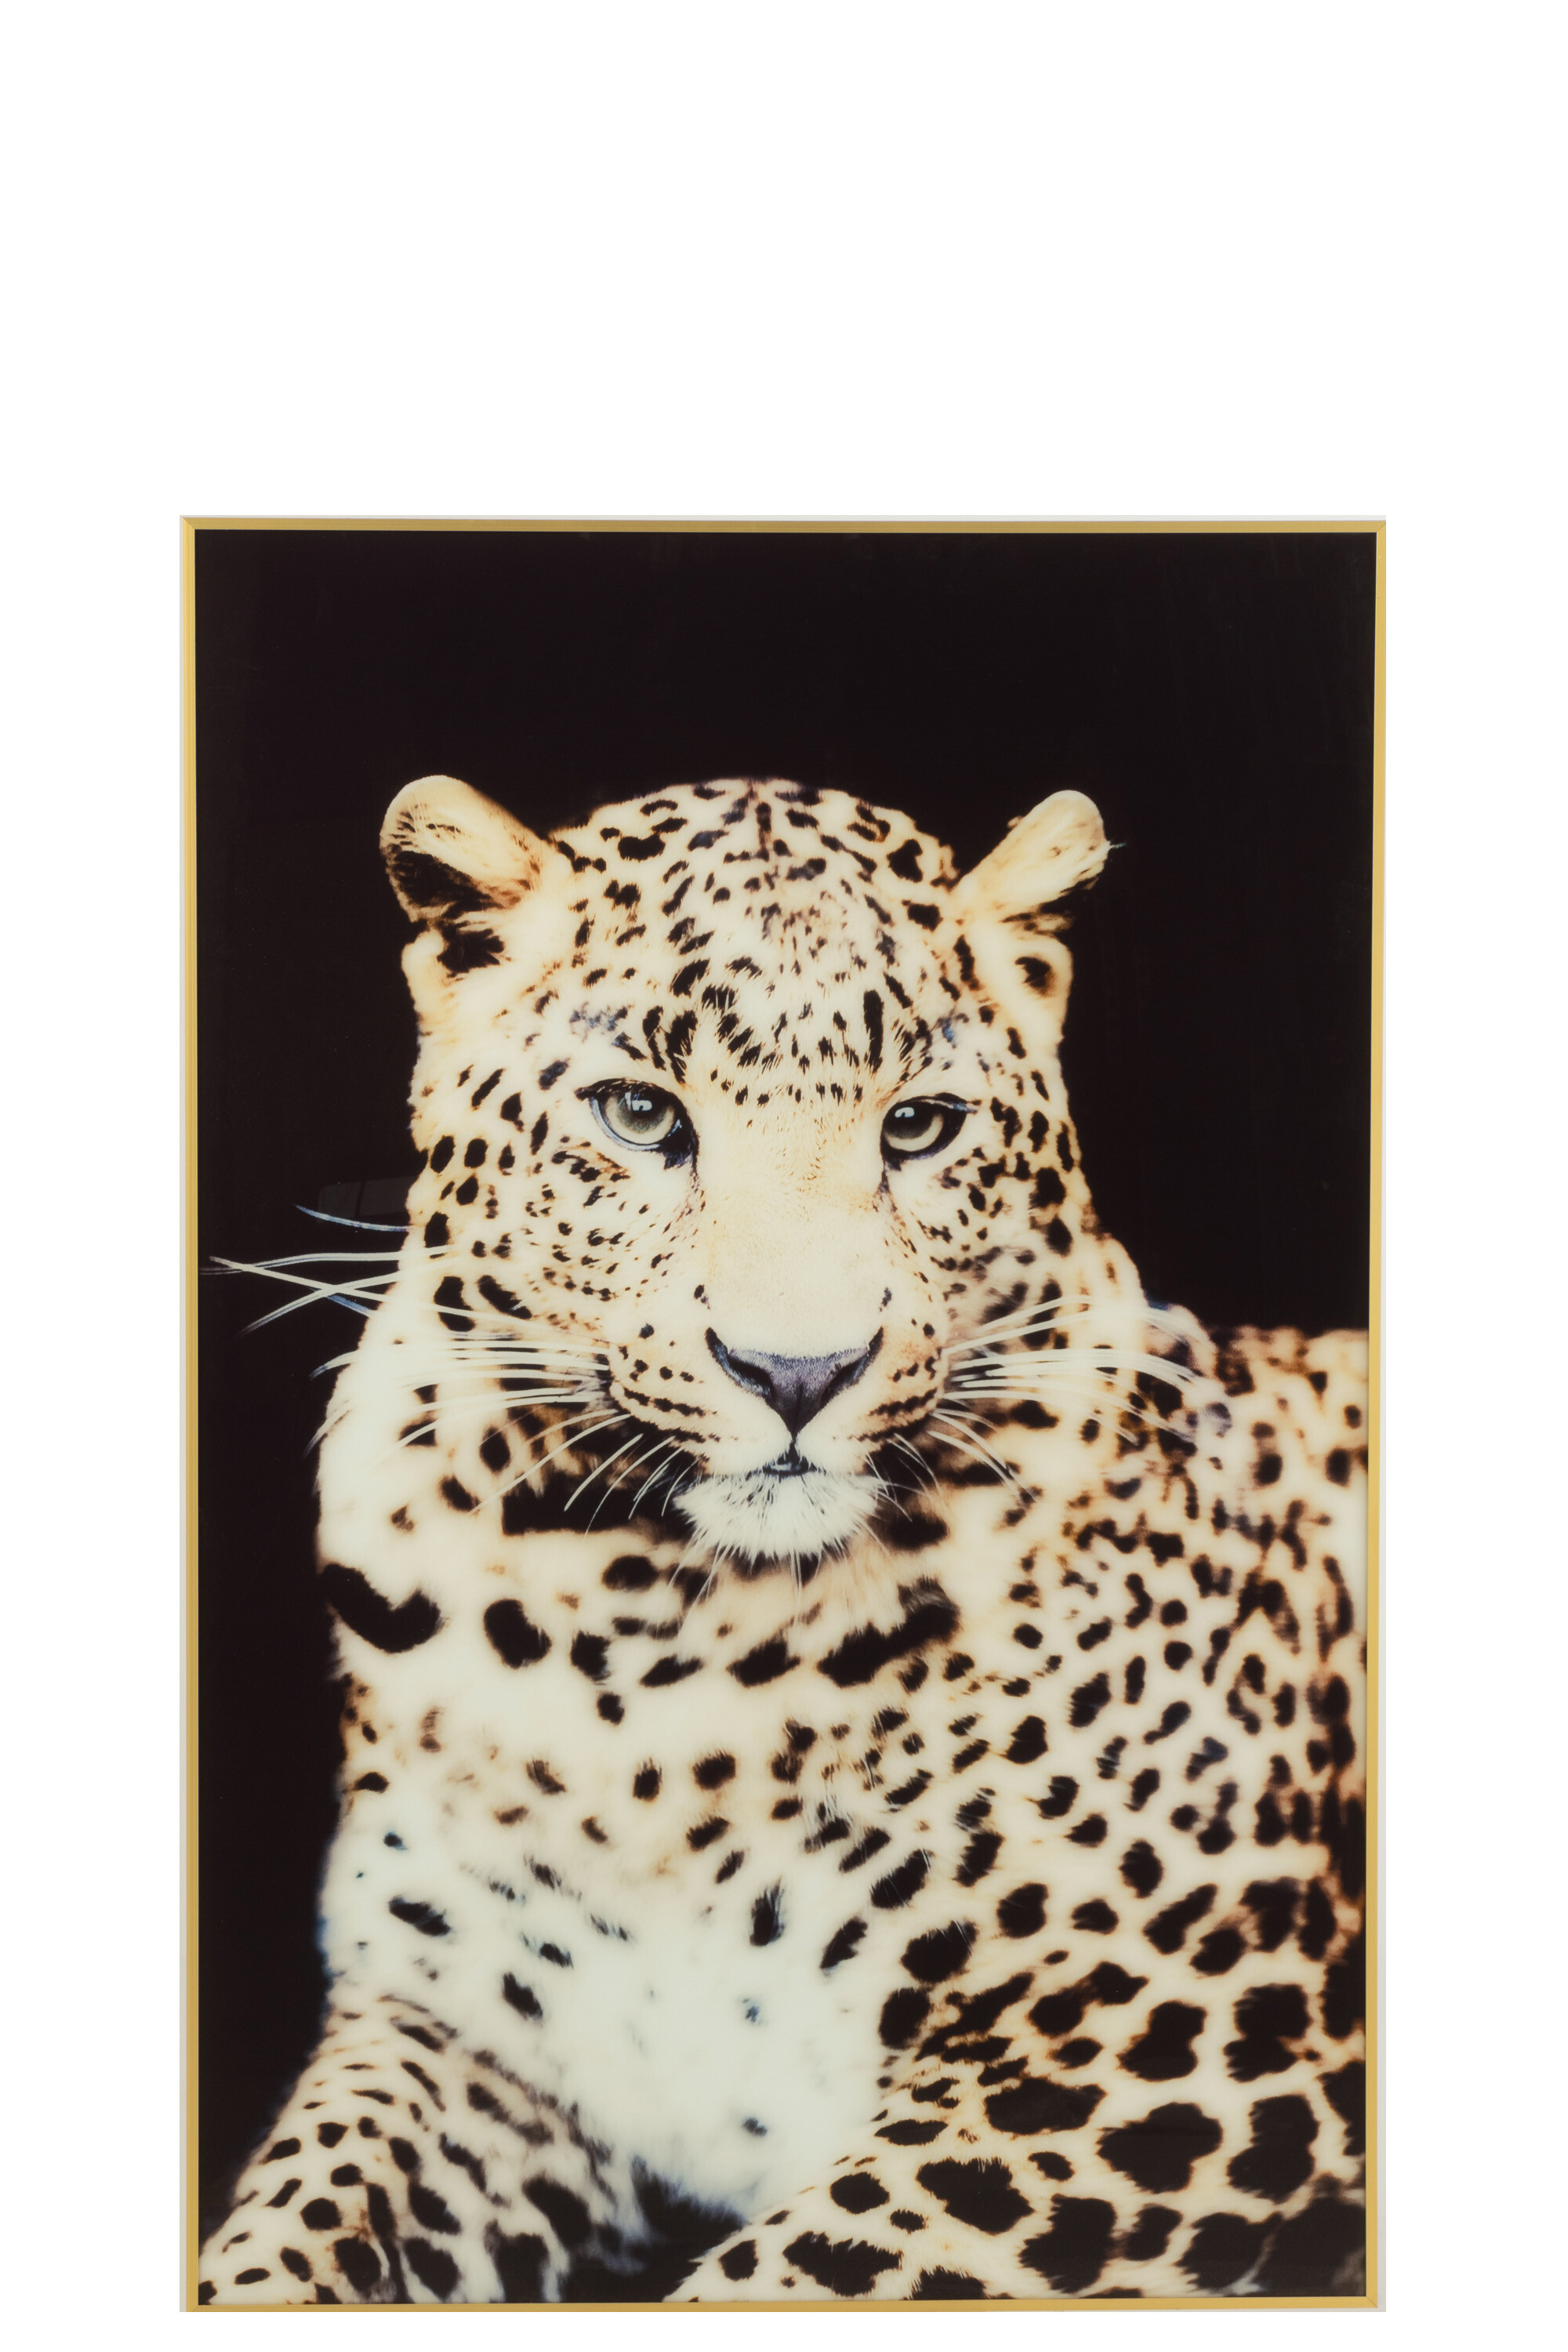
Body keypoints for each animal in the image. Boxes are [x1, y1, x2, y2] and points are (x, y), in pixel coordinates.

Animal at [198, 771, 1368, 2306]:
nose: (798, 1371)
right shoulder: (461, 2031)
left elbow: (807, 2265)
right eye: (643, 1114)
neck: (649, 1648)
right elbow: (293, 2217)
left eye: (920, 1126)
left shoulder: (1184, 2045)